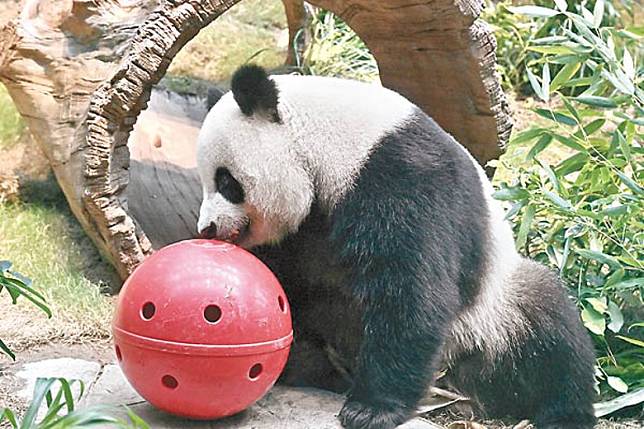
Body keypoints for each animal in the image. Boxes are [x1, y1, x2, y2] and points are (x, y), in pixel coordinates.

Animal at [194, 64, 596, 428]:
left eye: (227, 182)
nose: (207, 229)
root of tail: (452, 376)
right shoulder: (301, 228)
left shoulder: (402, 175)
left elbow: (411, 289)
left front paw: (371, 409)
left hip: (491, 309)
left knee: (549, 331)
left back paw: (564, 414)